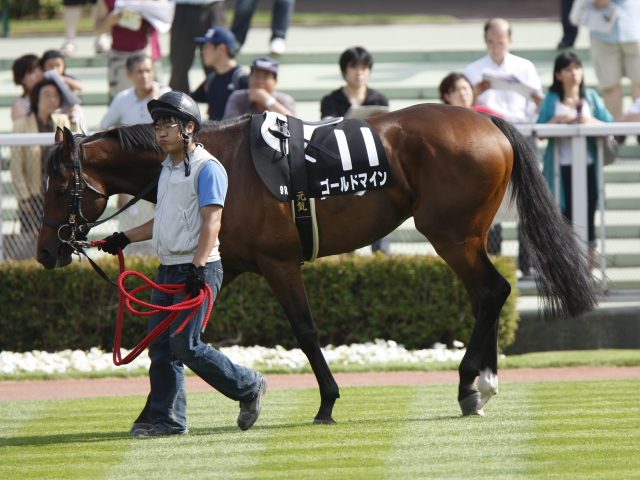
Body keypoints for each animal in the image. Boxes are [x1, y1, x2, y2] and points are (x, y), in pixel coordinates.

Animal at [37, 104, 597, 424]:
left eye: (61, 187)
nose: (46, 252)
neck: (217, 160)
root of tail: (486, 120)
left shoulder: (278, 261)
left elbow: (304, 330)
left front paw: (326, 402)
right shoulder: (226, 262)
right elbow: (171, 334)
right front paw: (155, 413)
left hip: (450, 234)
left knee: (490, 292)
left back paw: (468, 383)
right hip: (466, 234)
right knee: (490, 295)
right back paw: (484, 382)